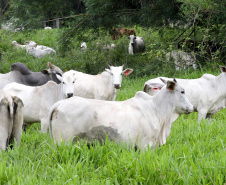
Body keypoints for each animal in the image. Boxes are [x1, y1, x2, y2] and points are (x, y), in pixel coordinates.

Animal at [48, 79, 193, 149]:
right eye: (182, 91)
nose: (192, 107)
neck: (156, 109)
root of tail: (59, 104)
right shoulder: (146, 145)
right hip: (63, 142)